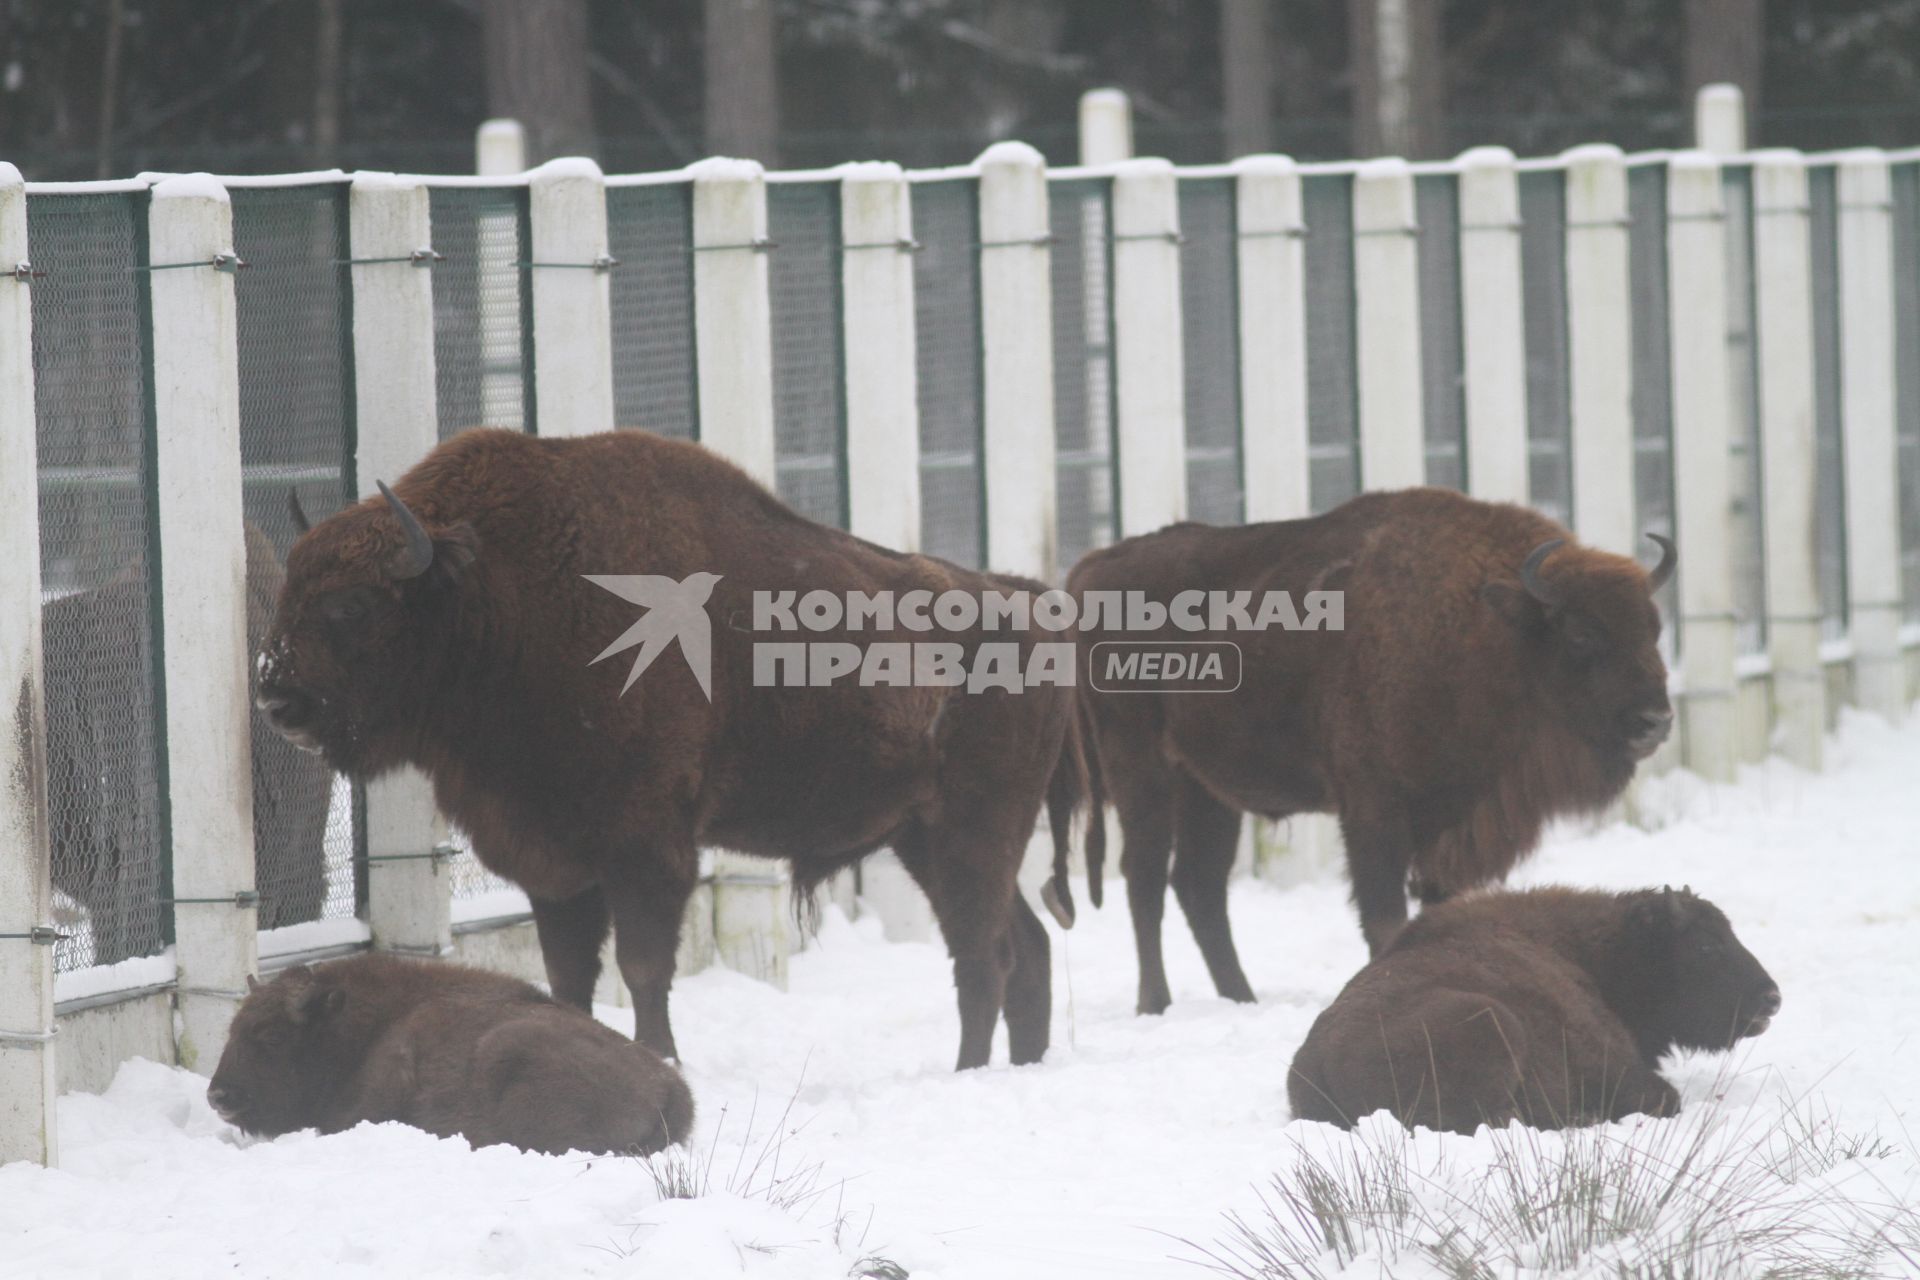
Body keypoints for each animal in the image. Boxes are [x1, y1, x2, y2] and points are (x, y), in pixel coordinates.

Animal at [255, 429, 1075, 1074]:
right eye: (290, 587)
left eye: (351, 604)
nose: (274, 694)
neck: (504, 597)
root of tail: (1034, 605)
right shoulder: (552, 863)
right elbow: (569, 977)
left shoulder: (646, 848)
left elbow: (643, 966)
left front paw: (662, 1059)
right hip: (926, 837)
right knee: (1022, 945)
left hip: (972, 831)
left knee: (983, 954)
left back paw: (969, 1071)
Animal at [1059, 485, 1674, 1013]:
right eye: (1581, 633)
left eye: (1653, 628)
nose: (1655, 721)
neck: (1485, 629)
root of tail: (1090, 570)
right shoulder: (1374, 810)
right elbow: (1384, 917)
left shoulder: (1449, 824)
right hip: (1140, 765)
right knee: (1145, 877)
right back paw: (1156, 1003)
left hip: (1207, 788)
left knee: (1199, 886)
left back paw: (1242, 999)